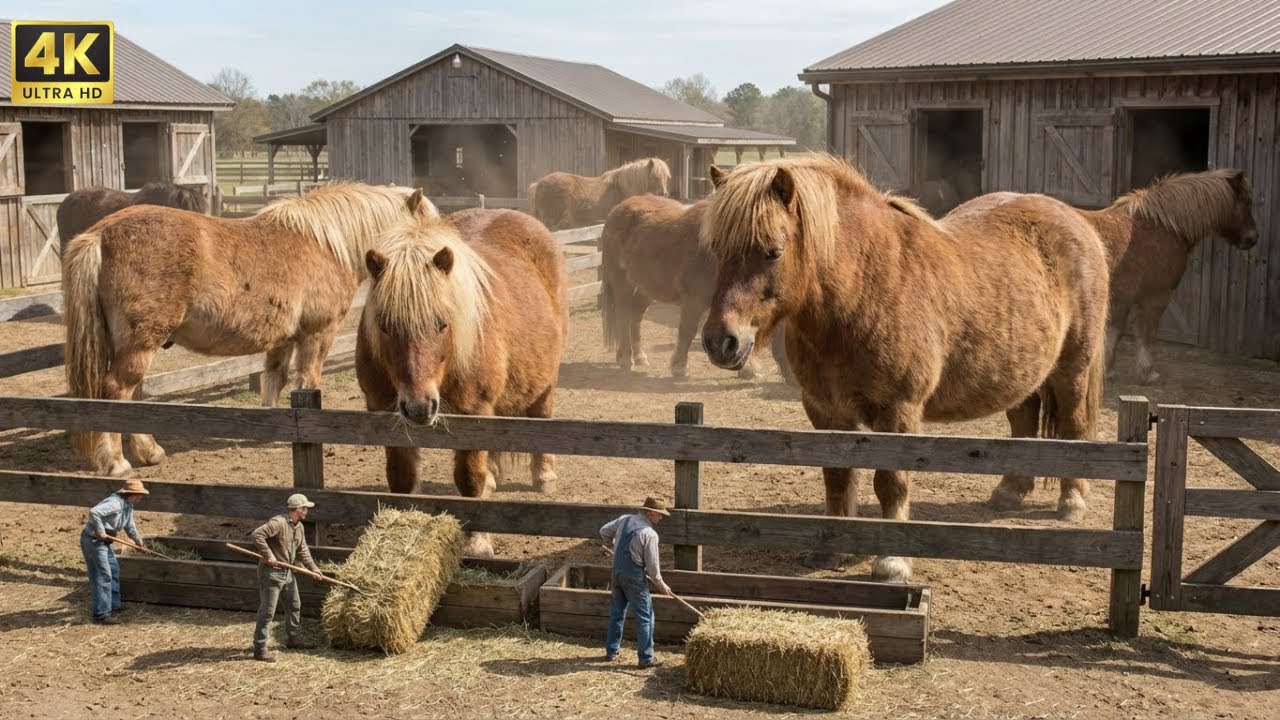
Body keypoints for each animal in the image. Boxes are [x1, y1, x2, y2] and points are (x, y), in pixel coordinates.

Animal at [356, 208, 568, 557]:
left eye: (442, 323)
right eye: (384, 325)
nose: (419, 407)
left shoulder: (474, 411)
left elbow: (470, 478)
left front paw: (478, 543)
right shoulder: (385, 417)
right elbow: (401, 479)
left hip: (545, 382)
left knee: (542, 416)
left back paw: (545, 475)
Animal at [600, 168, 789, 381]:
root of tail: (617, 210)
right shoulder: (694, 300)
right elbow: (687, 331)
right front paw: (679, 368)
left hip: (646, 287)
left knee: (635, 317)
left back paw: (640, 357)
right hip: (622, 283)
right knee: (623, 315)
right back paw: (625, 358)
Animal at [699, 155, 1110, 583]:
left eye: (773, 251)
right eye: (717, 250)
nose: (721, 341)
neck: (863, 291)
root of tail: (1077, 220)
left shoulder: (897, 410)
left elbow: (890, 482)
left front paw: (891, 562)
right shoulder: (826, 411)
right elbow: (837, 476)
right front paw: (830, 551)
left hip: (1072, 371)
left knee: (1075, 424)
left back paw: (1072, 500)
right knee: (1024, 421)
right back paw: (1010, 492)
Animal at [1081, 169, 1258, 382]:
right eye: (1247, 202)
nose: (1252, 238)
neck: (1165, 227)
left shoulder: (1124, 298)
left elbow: (1114, 333)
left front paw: (1107, 370)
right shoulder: (1155, 296)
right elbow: (1146, 333)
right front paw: (1147, 373)